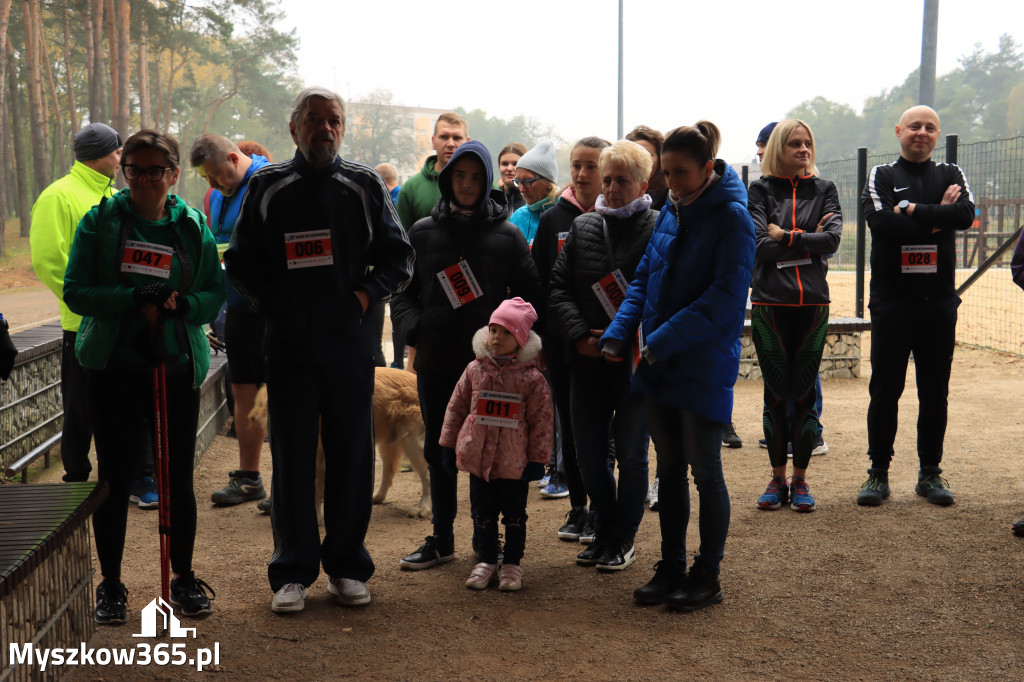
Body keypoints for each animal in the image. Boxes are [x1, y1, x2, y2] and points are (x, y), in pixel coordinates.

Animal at [249, 366, 430, 520]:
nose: (251, 418)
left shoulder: (320, 457)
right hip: (389, 442)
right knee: (389, 470)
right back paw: (377, 497)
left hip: (412, 443)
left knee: (427, 476)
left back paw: (423, 508)